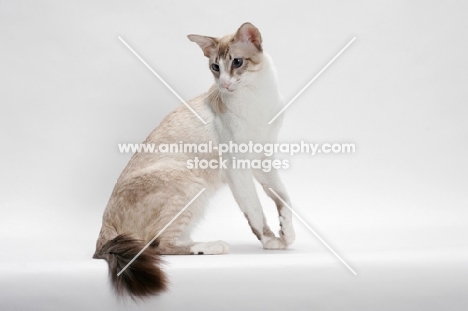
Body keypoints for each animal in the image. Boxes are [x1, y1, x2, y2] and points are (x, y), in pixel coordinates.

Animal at [93, 22, 294, 300]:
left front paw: (287, 233)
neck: (256, 98)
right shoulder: (238, 168)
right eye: (215, 67)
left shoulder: (263, 159)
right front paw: (270, 240)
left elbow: (283, 197)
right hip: (190, 183)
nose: (224, 84)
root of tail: (102, 232)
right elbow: (255, 210)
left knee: (160, 243)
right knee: (160, 246)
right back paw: (213, 246)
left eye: (237, 62)